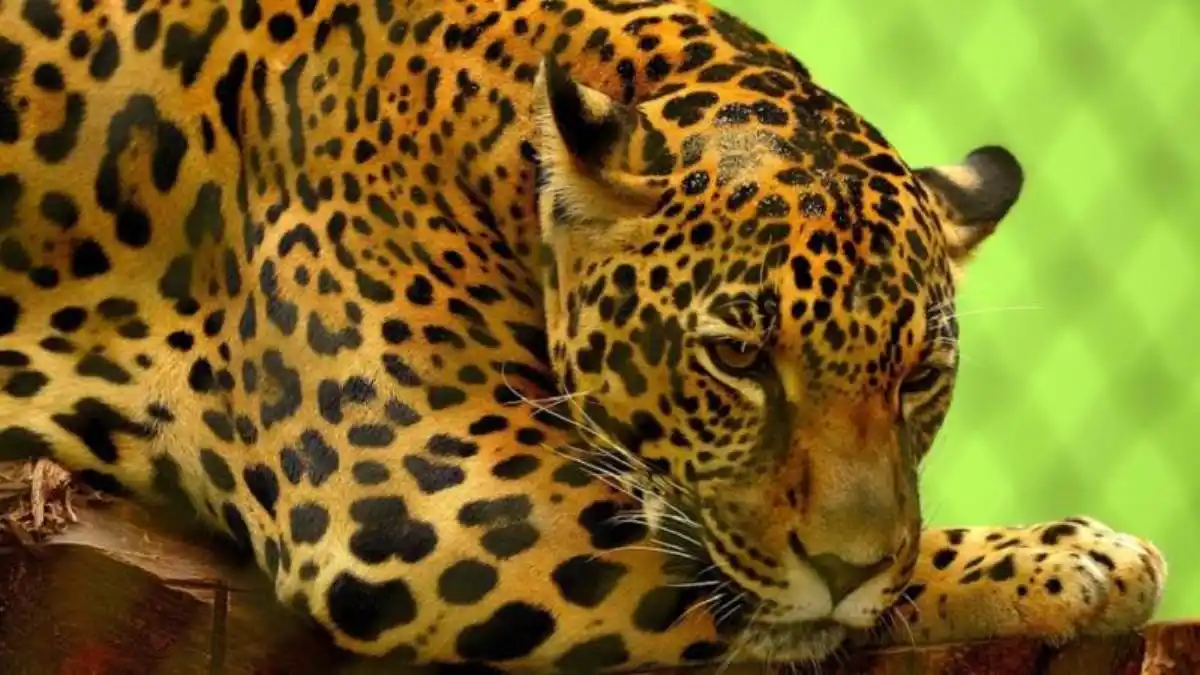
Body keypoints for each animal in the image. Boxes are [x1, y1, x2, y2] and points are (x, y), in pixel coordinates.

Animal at [0, 0, 1166, 671]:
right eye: (737, 357)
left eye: (919, 376)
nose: (846, 563)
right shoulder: (430, 500)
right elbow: (775, 598)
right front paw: (1070, 558)